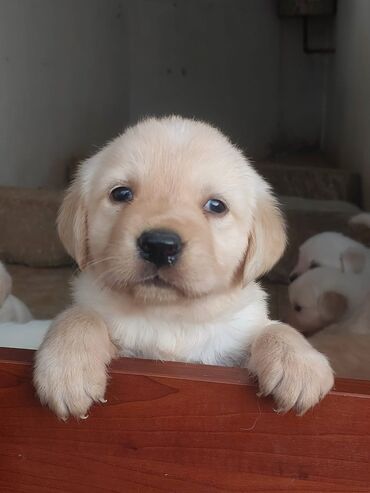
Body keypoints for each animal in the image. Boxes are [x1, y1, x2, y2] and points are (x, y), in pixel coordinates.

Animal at [34, 116, 334, 418]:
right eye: (121, 193)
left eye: (216, 205)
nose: (159, 245)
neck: (170, 316)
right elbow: (79, 316)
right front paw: (68, 369)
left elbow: (274, 329)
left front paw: (298, 364)